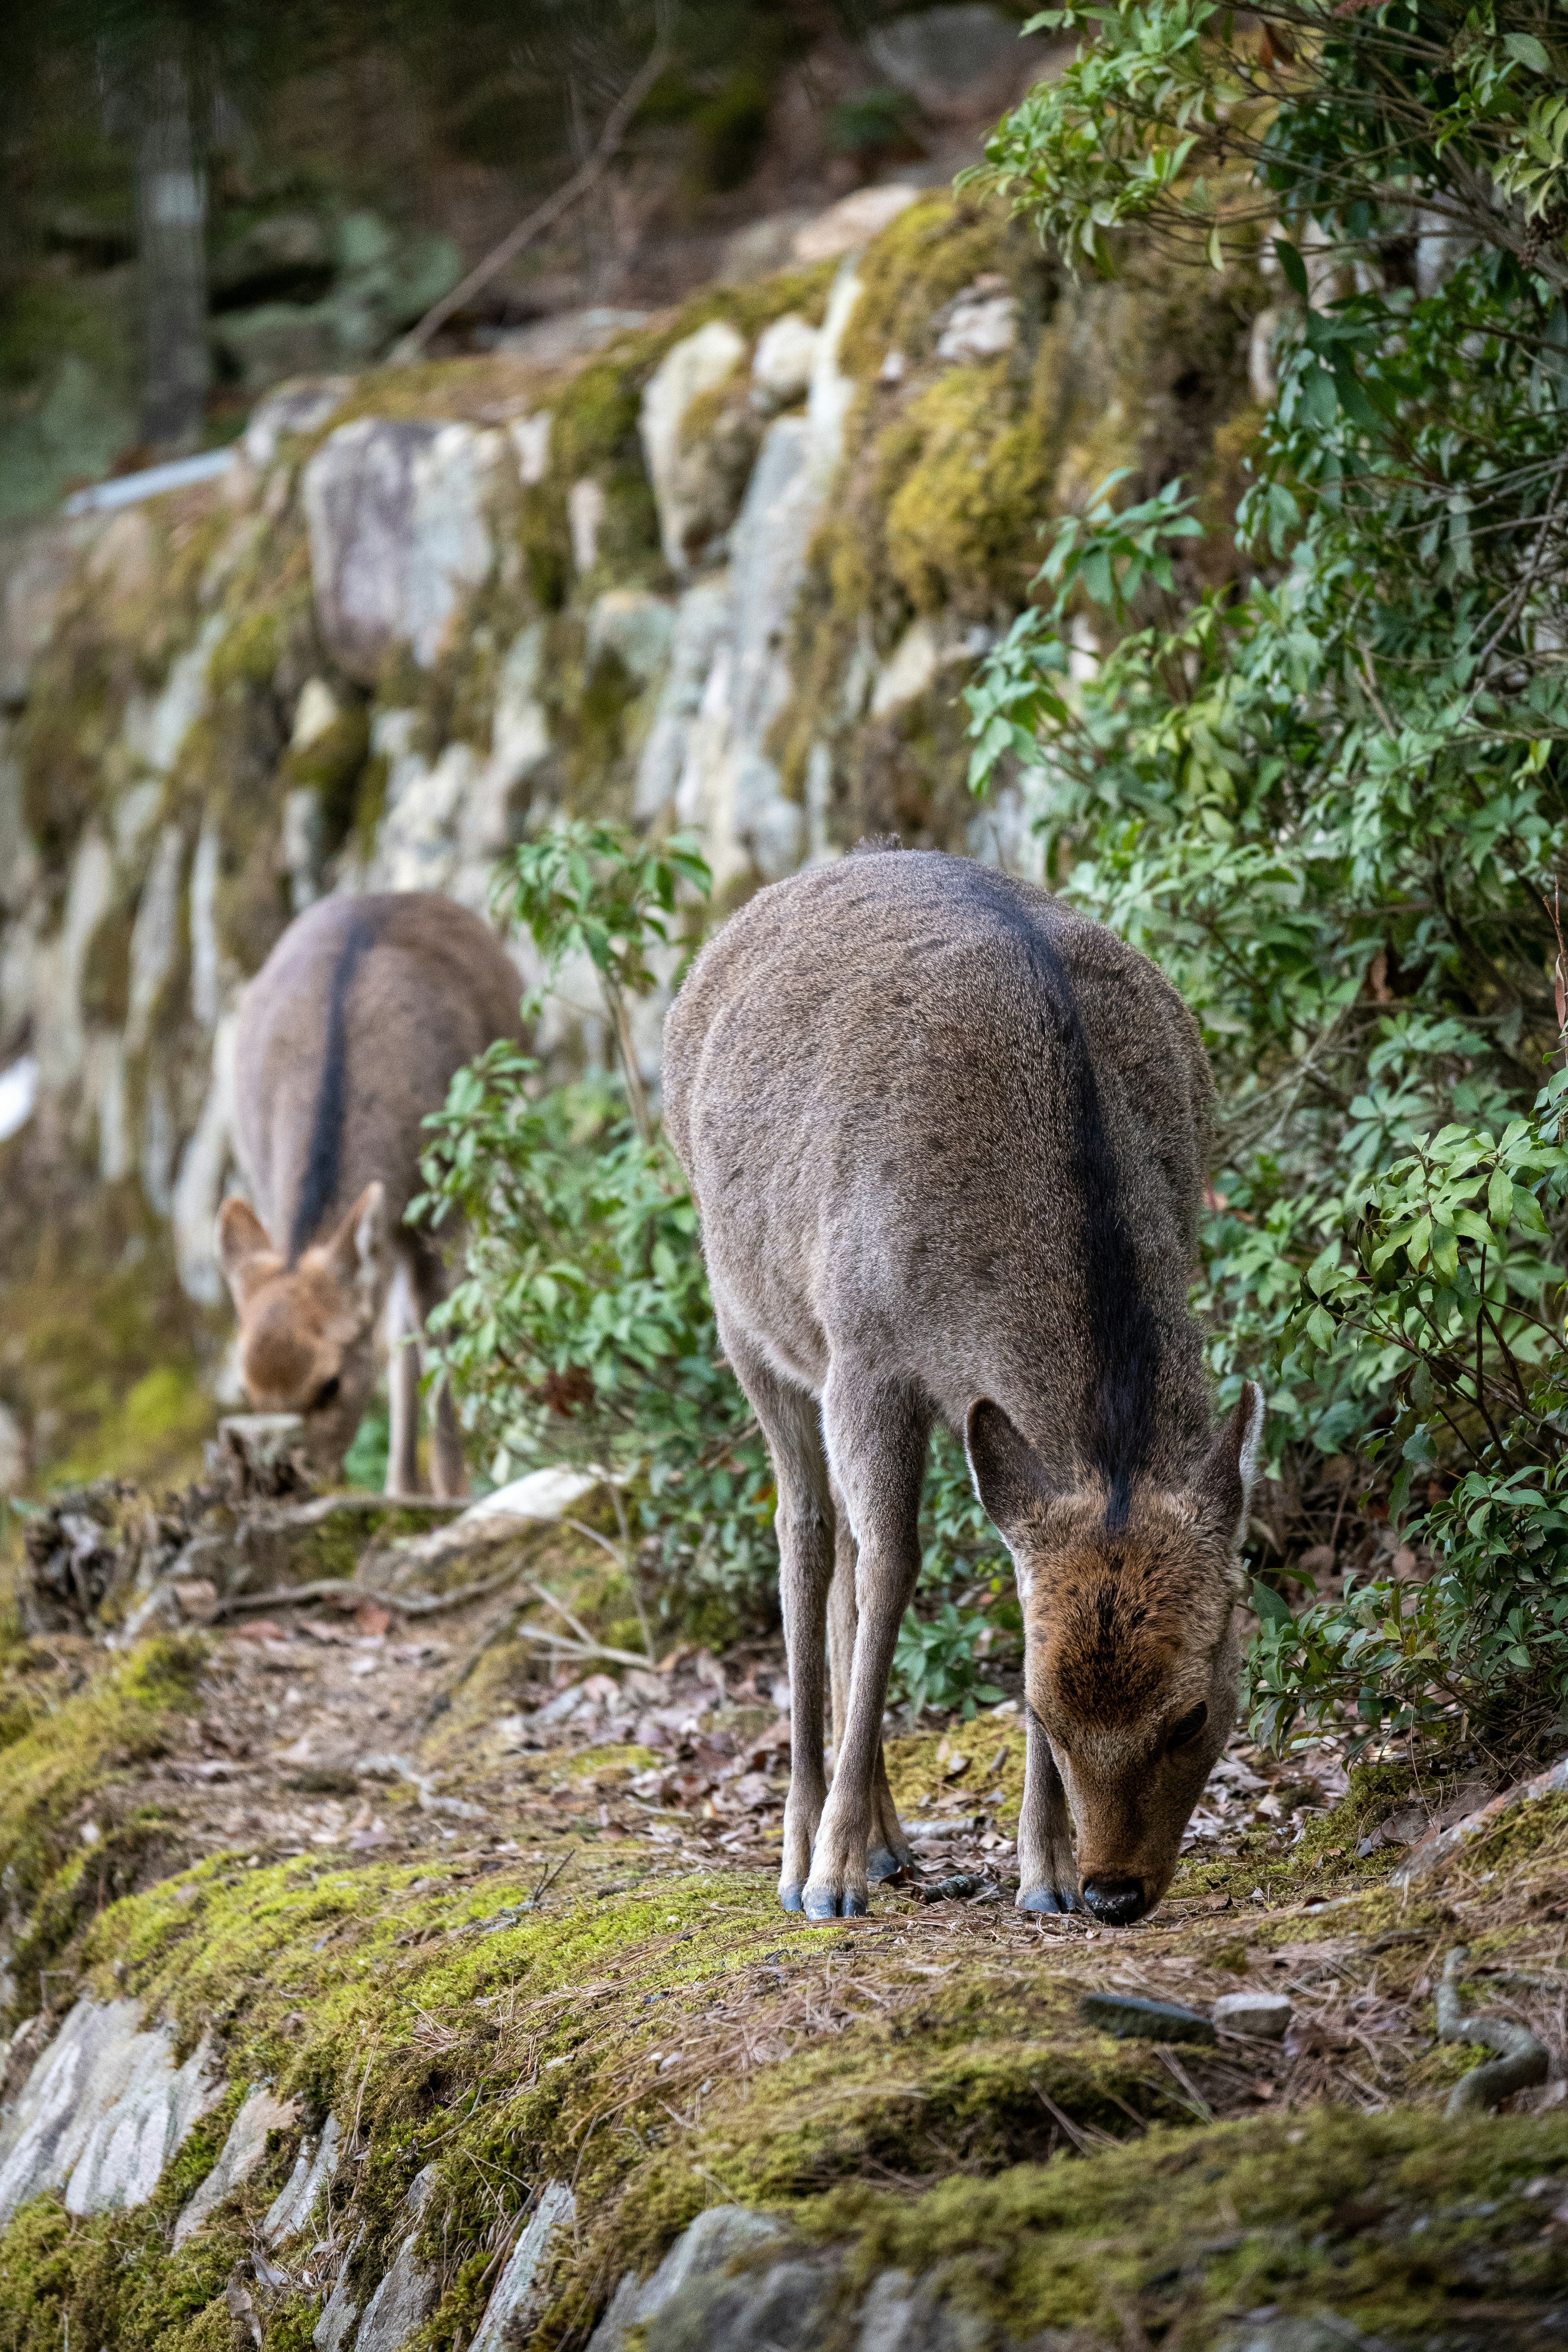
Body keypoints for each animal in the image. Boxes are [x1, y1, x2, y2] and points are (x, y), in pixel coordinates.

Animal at [215, 889, 524, 1496]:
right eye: (247, 1390)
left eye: (331, 1383)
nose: (296, 1481)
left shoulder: (438, 1210)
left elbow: (436, 1337)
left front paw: (455, 1491)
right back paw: (400, 1485)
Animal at [663, 856, 1260, 1919]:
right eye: (1042, 1706)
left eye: (1193, 1711)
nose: (1114, 1890)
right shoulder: (865, 1353)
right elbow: (893, 1567)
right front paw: (830, 1876)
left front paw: (1043, 1870)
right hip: (748, 1322)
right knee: (810, 1537)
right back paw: (805, 1846)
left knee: (843, 1554)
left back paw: (890, 1842)